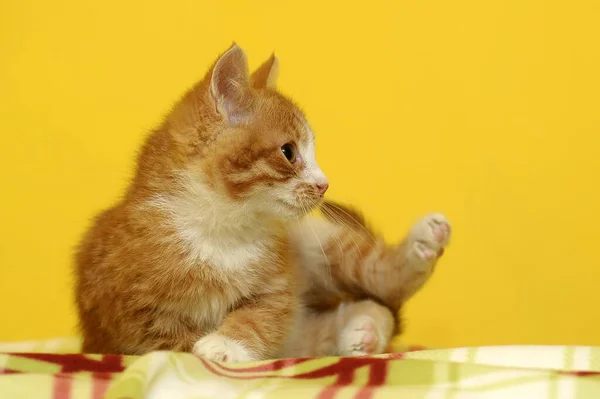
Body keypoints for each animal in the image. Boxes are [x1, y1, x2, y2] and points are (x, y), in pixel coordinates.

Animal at [75, 43, 450, 362]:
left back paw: (421, 247)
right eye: (289, 152)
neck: (221, 229)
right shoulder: (130, 316)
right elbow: (172, 343)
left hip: (315, 244)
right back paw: (362, 331)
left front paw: (225, 345)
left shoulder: (277, 284)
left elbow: (262, 317)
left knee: (379, 283)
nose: (324, 185)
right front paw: (204, 347)